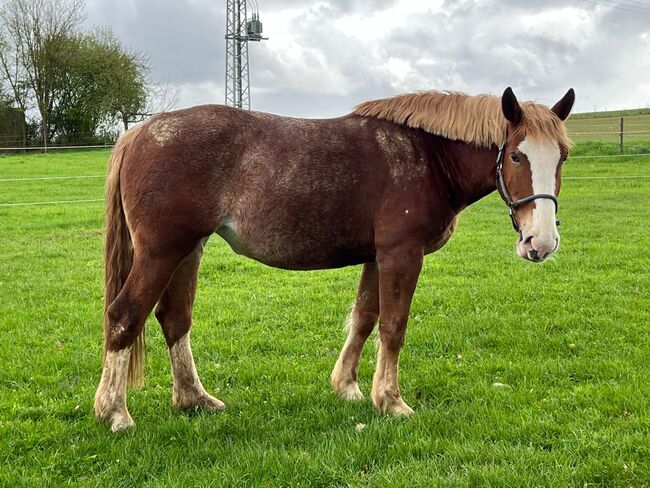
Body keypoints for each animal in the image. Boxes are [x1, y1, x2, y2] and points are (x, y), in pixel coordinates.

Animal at [92, 86, 572, 428]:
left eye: (562, 156)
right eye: (516, 155)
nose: (541, 241)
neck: (428, 156)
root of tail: (138, 133)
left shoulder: (377, 257)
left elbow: (364, 318)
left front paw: (348, 387)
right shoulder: (401, 254)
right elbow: (393, 326)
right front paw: (391, 401)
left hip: (187, 250)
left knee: (174, 319)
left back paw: (194, 399)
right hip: (160, 252)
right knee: (124, 315)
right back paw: (115, 412)